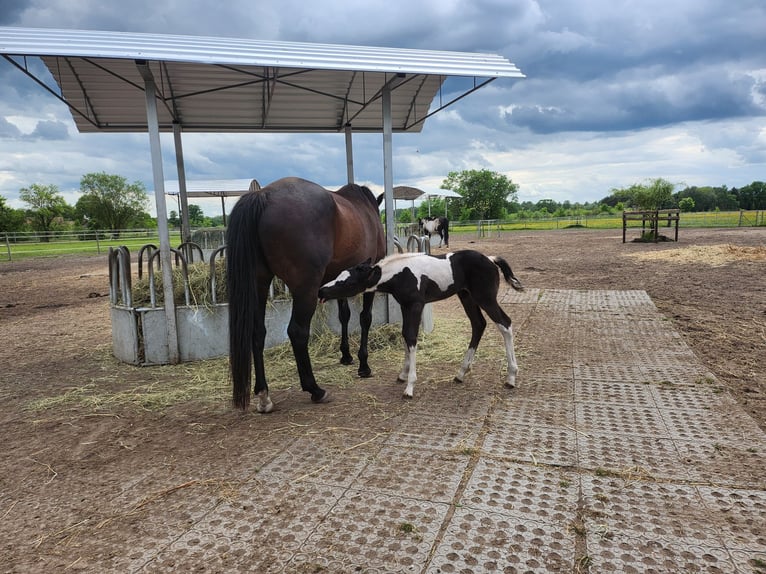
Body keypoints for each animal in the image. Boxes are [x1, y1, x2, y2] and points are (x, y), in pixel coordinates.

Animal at [227, 177, 386, 412]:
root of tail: (263, 195)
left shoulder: (340, 281)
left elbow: (344, 316)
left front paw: (346, 355)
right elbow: (365, 318)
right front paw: (363, 365)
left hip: (259, 284)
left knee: (258, 333)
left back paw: (264, 395)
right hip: (305, 289)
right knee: (297, 332)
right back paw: (315, 389)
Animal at [319, 249, 524, 398]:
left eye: (346, 283)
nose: (321, 291)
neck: (401, 273)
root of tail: (490, 259)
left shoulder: (417, 305)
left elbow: (411, 337)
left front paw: (410, 386)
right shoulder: (405, 306)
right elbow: (404, 335)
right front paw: (403, 374)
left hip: (485, 298)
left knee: (505, 324)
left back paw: (511, 377)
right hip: (466, 296)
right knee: (478, 324)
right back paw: (461, 373)